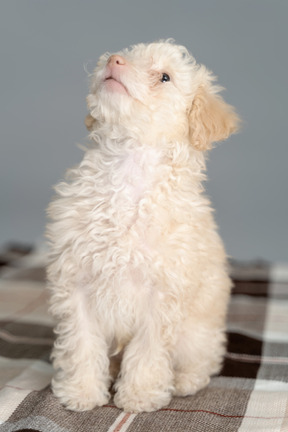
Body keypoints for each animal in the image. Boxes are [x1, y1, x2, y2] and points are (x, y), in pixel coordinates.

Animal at [47, 39, 240, 412]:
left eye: (165, 77)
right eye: (128, 54)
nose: (113, 60)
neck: (128, 170)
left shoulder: (161, 295)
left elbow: (148, 352)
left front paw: (140, 395)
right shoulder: (75, 284)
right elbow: (81, 344)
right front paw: (81, 392)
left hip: (199, 334)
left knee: (203, 361)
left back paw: (185, 381)